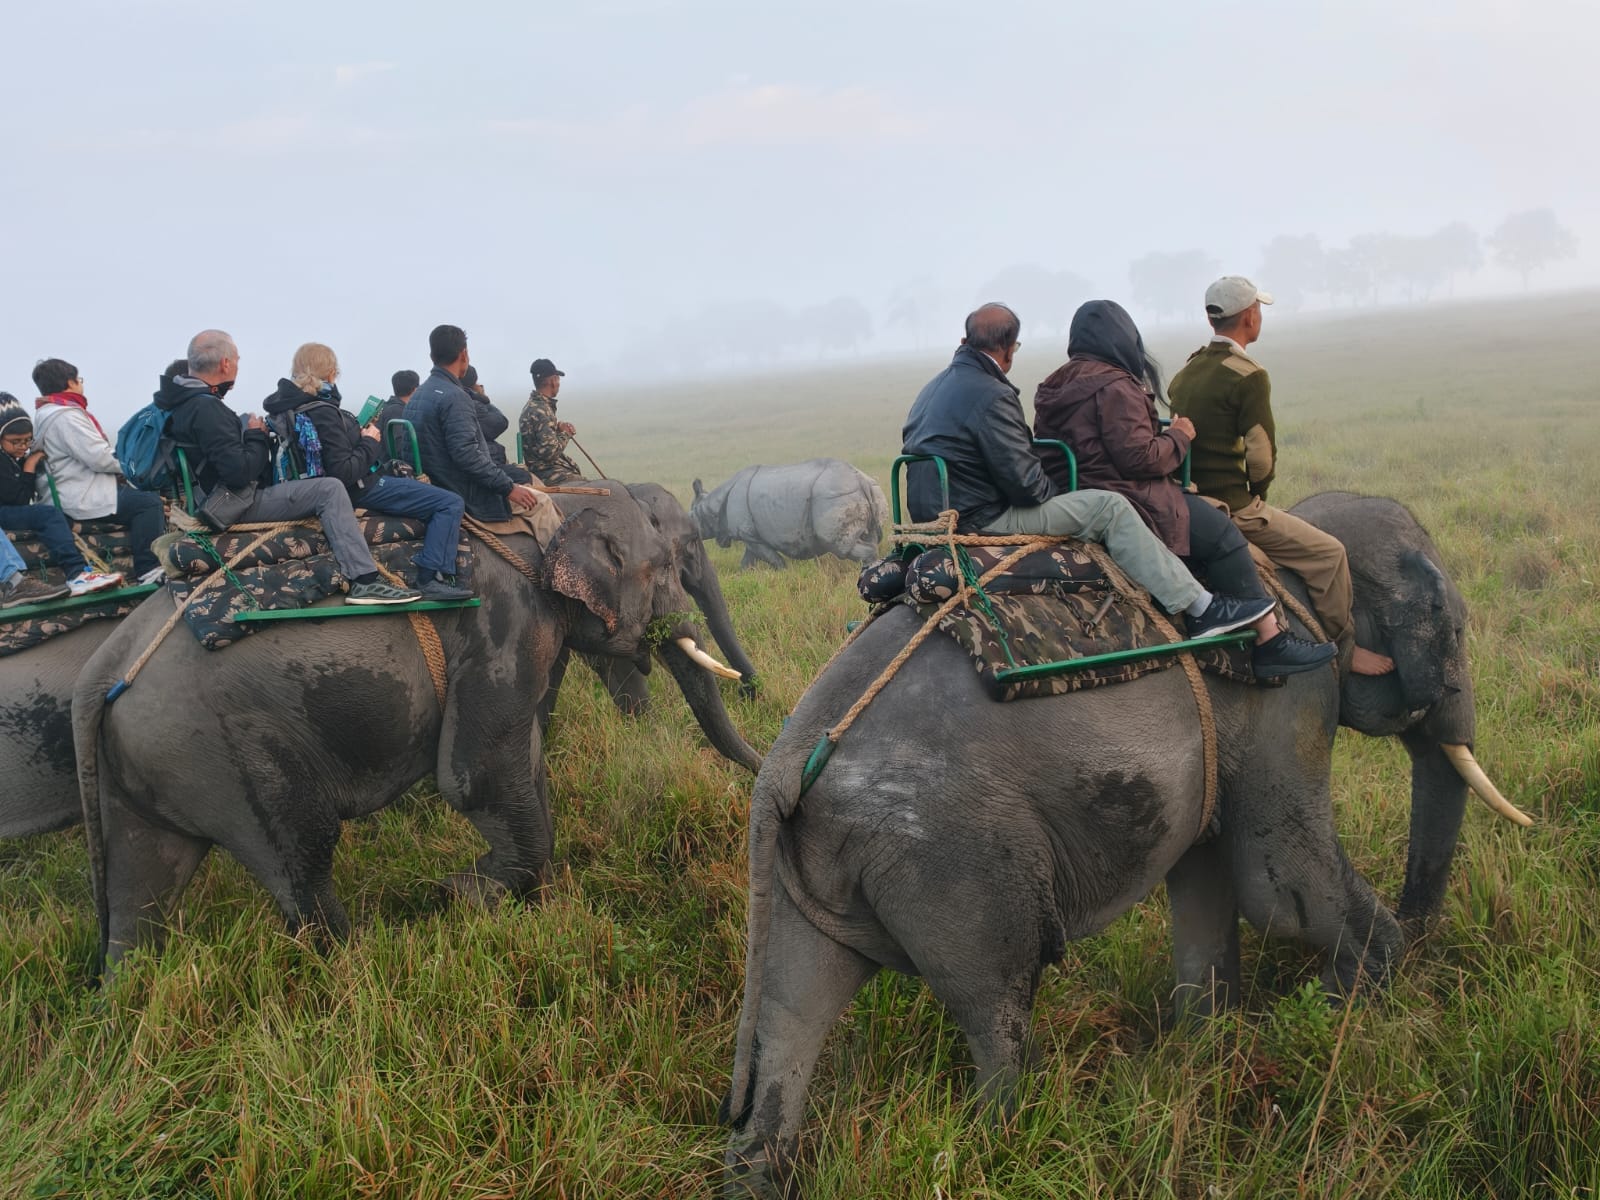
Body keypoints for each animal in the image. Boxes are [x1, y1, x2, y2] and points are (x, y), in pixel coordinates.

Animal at [72, 489, 761, 969]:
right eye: (665, 569)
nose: (757, 773)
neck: (552, 511)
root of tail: (100, 670)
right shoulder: (505, 622)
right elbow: (474, 777)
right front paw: (459, 895)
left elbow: (522, 761)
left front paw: (520, 905)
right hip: (226, 751)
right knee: (301, 860)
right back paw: (353, 965)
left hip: (154, 761)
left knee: (141, 891)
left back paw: (126, 995)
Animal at [690, 458, 889, 569]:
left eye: (689, 518)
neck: (709, 506)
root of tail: (861, 480)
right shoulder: (750, 536)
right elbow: (747, 560)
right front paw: (743, 575)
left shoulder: (749, 535)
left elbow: (773, 558)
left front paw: (784, 572)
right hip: (867, 490)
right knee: (869, 536)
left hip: (833, 497)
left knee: (838, 546)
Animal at [719, 493, 1508, 1196]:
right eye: (1454, 628)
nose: (1427, 939)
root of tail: (784, 764)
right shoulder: (1289, 696)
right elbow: (1279, 890)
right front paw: (1340, 1007)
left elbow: (1206, 880)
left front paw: (1208, 1050)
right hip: (947, 855)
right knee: (997, 998)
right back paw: (1001, 1144)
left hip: (818, 861)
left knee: (794, 1009)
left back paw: (758, 1174)